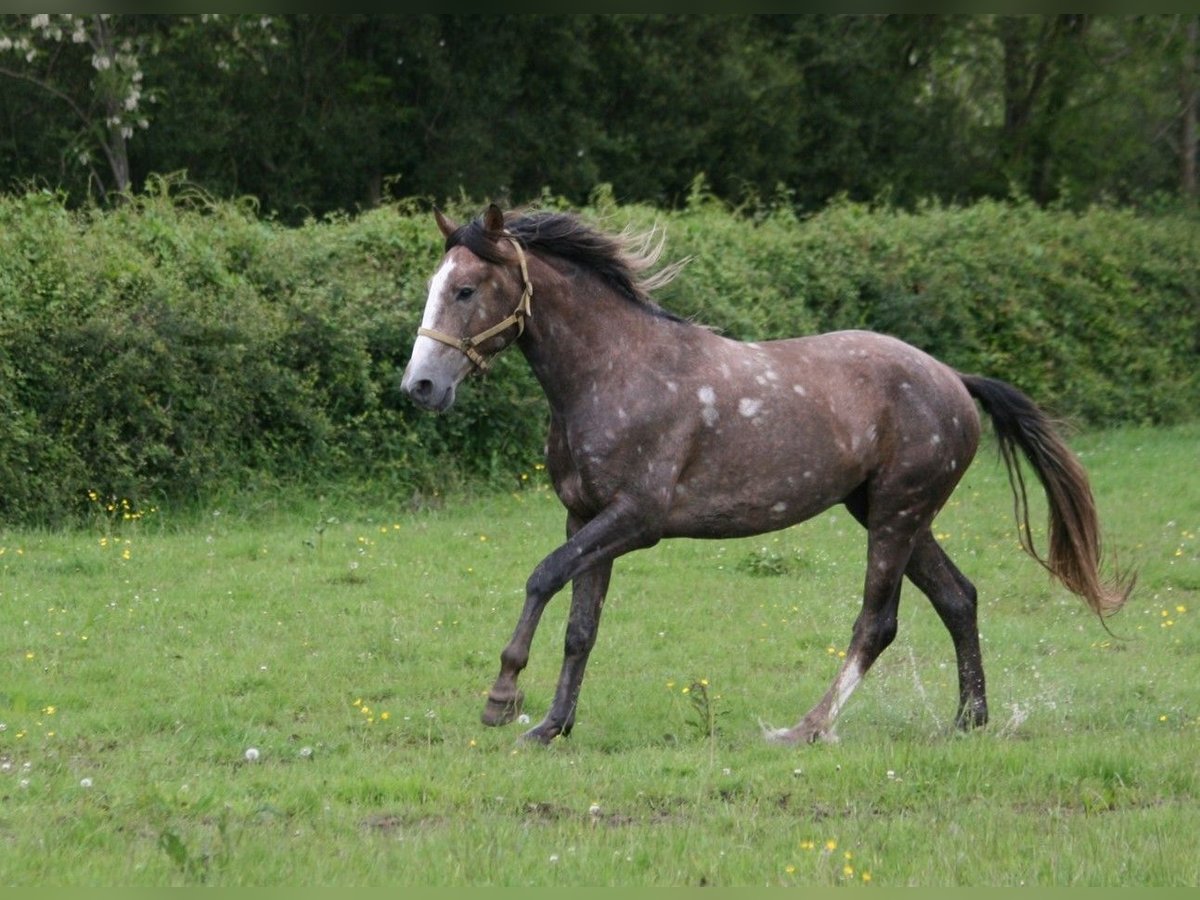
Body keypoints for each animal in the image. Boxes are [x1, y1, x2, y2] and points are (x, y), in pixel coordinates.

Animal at [398, 204, 1128, 748]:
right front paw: (551, 726)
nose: (420, 387)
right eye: (435, 287)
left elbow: (543, 576)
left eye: (466, 289)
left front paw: (502, 698)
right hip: (892, 513)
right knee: (959, 598)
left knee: (878, 622)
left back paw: (804, 729)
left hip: (896, 515)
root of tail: (953, 378)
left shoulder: (635, 520)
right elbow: (582, 625)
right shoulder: (585, 516)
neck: (612, 371)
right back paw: (968, 721)